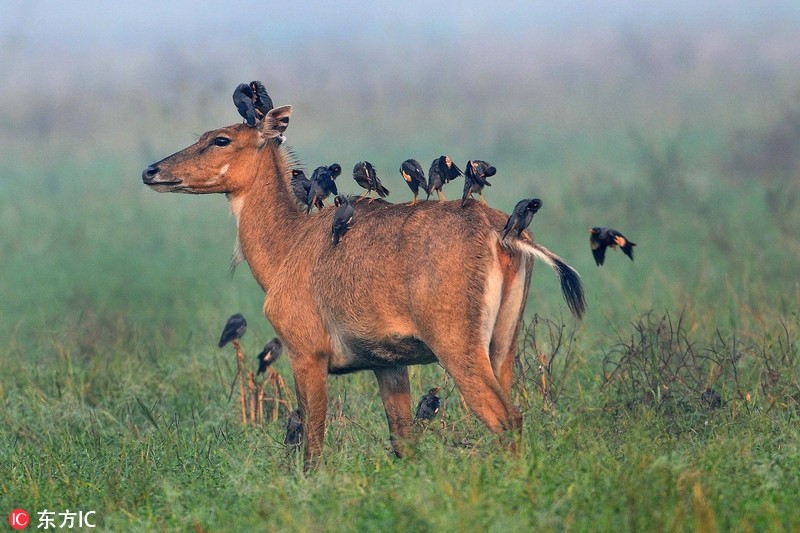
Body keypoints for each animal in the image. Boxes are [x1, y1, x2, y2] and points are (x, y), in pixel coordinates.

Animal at [141, 102, 584, 464]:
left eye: (221, 139)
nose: (150, 171)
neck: (286, 247)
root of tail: (506, 235)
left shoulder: (307, 350)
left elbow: (313, 446)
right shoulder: (388, 363)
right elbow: (403, 442)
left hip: (458, 343)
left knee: (506, 419)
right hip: (503, 343)